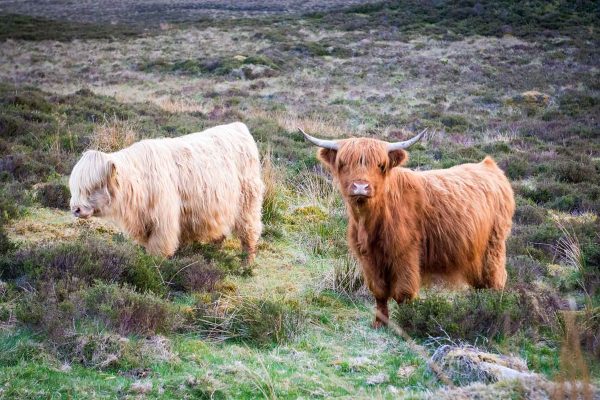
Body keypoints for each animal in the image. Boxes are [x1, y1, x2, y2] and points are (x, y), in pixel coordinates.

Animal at [69, 123, 264, 264]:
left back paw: (247, 264)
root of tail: (239, 126)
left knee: (249, 232)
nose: (76, 209)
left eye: (95, 186)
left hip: (248, 203)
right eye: (75, 186)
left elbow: (158, 249)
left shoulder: (163, 221)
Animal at [304, 130, 516, 326]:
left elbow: (403, 293)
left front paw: (406, 323)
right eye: (343, 163)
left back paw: (494, 308)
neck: (370, 221)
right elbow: (379, 292)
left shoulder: (405, 254)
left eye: (380, 165)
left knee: (495, 279)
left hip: (494, 246)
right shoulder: (369, 258)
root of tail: (488, 165)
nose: (360, 187)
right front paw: (379, 323)